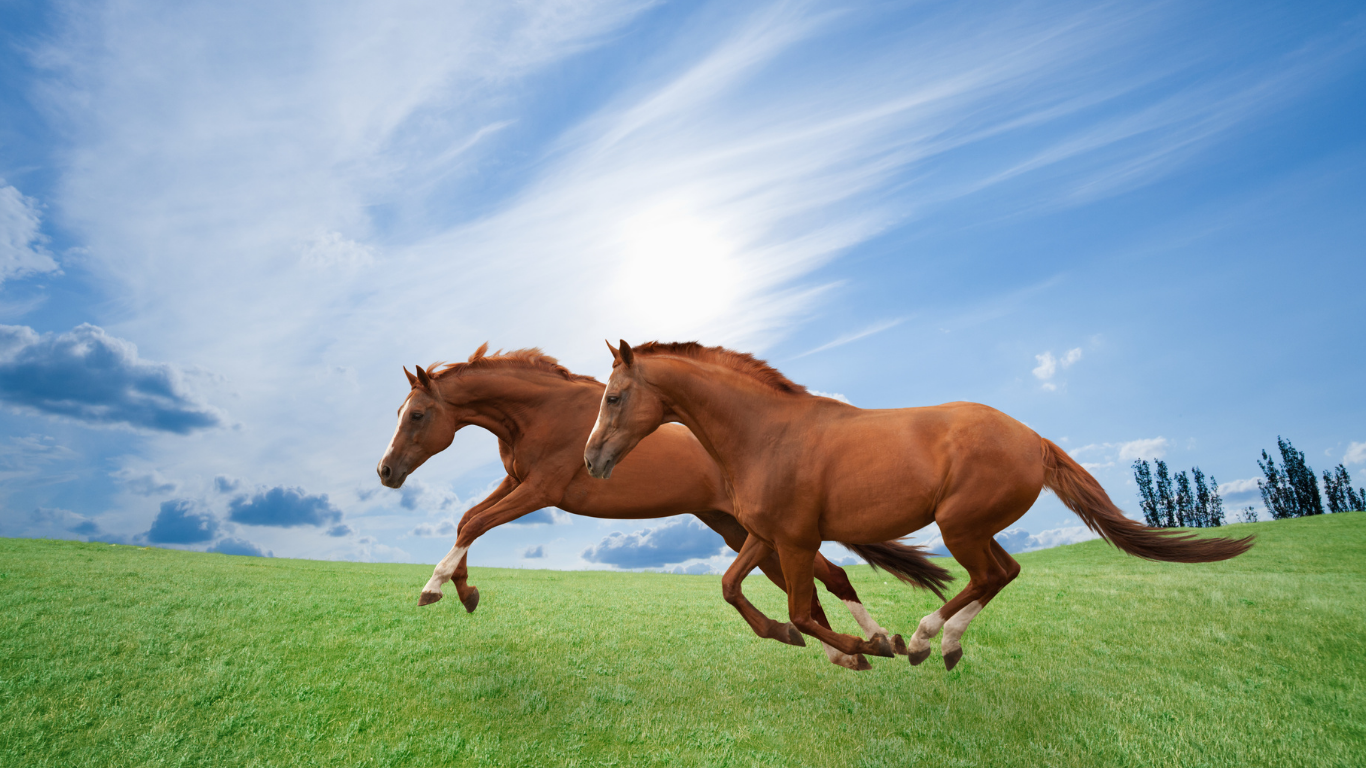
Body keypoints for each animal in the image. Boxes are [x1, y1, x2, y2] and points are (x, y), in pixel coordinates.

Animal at [377, 344, 952, 670]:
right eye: (401, 412)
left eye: (418, 415)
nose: (385, 472)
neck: (539, 412)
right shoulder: (515, 481)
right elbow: (466, 520)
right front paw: (465, 591)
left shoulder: (540, 490)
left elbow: (476, 523)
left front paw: (436, 588)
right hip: (737, 527)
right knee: (813, 580)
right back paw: (851, 650)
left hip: (756, 528)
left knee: (826, 576)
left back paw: (871, 642)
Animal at [584, 341, 1254, 670]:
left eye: (614, 397)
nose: (591, 459)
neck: (765, 433)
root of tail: (1032, 437)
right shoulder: (765, 535)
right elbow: (730, 588)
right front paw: (788, 636)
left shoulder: (798, 540)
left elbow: (806, 609)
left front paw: (873, 646)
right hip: (976, 526)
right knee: (1005, 572)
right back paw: (944, 645)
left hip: (959, 526)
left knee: (987, 576)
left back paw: (925, 640)